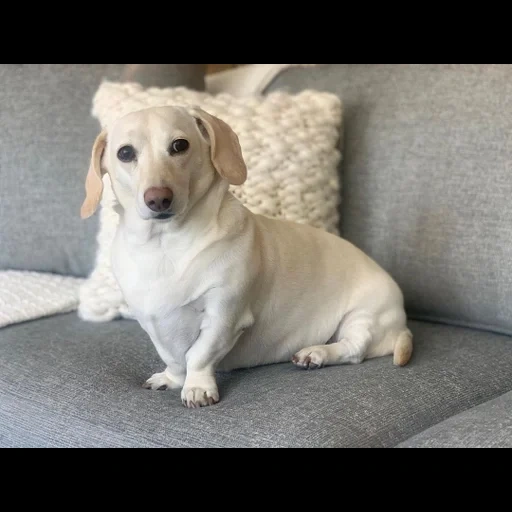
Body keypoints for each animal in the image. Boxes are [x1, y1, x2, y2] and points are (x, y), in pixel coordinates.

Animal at [82, 107, 414, 408]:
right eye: (125, 153)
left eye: (179, 145)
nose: (158, 199)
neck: (165, 245)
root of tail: (401, 323)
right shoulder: (151, 323)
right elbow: (174, 359)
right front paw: (172, 379)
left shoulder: (224, 315)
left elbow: (198, 354)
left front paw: (197, 388)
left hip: (364, 314)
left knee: (354, 348)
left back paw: (316, 353)